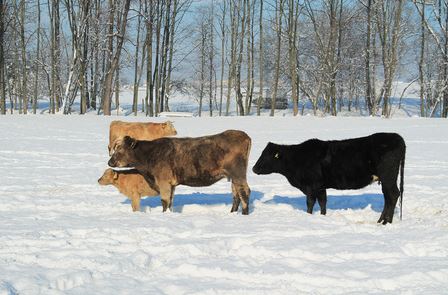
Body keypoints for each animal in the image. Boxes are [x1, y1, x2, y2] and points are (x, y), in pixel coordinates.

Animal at [107, 131, 250, 214]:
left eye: (120, 150)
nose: (110, 162)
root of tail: (244, 135)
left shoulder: (164, 182)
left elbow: (164, 201)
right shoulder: (171, 184)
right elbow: (170, 201)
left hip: (238, 173)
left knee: (244, 191)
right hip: (234, 176)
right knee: (236, 194)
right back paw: (232, 213)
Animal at [252, 133, 406, 225]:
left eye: (266, 156)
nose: (253, 168)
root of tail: (397, 137)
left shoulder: (311, 186)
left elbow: (310, 203)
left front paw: (308, 216)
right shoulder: (321, 186)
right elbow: (323, 202)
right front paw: (322, 216)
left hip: (388, 177)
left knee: (393, 195)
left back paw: (387, 222)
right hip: (386, 179)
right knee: (388, 197)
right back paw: (380, 221)